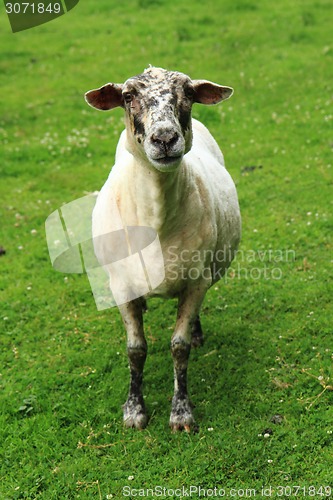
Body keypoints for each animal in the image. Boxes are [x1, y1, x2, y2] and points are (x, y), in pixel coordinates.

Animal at [84, 67, 240, 434]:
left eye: (188, 93)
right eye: (128, 96)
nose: (165, 138)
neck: (155, 222)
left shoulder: (196, 281)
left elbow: (178, 348)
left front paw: (181, 413)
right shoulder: (121, 286)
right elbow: (135, 349)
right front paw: (134, 410)